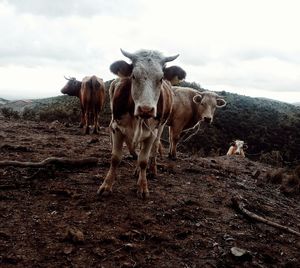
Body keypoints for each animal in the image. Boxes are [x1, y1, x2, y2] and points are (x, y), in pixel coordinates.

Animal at [97, 49, 185, 198]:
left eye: (160, 78)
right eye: (133, 76)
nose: (146, 109)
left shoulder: (151, 133)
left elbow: (144, 160)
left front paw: (143, 186)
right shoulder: (116, 128)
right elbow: (115, 158)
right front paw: (106, 185)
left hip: (160, 127)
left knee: (154, 148)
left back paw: (152, 170)